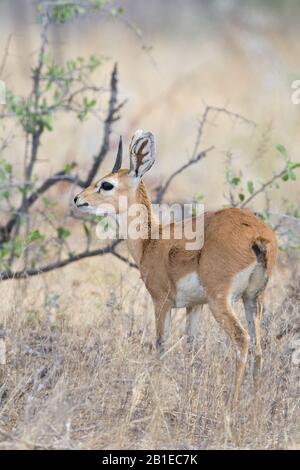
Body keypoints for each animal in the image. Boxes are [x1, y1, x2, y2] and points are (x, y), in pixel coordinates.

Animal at [74, 130, 278, 406]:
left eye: (106, 184)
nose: (78, 199)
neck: (151, 241)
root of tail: (258, 236)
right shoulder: (195, 306)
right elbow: (190, 347)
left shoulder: (161, 301)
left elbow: (161, 345)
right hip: (253, 298)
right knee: (258, 348)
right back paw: (255, 410)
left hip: (221, 301)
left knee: (242, 340)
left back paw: (232, 407)